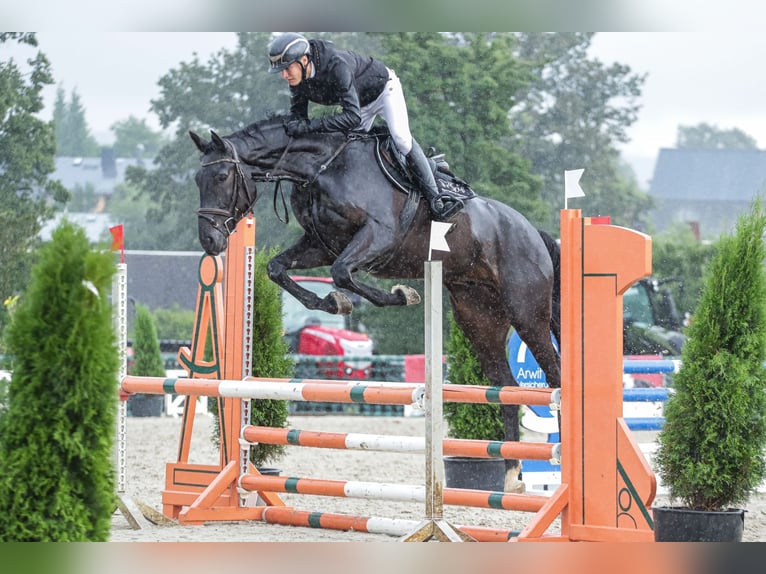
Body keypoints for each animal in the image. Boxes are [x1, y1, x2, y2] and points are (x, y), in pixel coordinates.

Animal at [190, 118, 564, 496]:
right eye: (197, 180)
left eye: (221, 176)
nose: (210, 241)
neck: (322, 168)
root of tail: (533, 232)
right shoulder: (322, 244)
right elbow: (278, 268)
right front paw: (331, 302)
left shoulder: (377, 236)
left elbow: (342, 272)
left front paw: (401, 295)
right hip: (478, 318)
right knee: (506, 387)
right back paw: (511, 475)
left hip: (526, 313)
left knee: (555, 376)